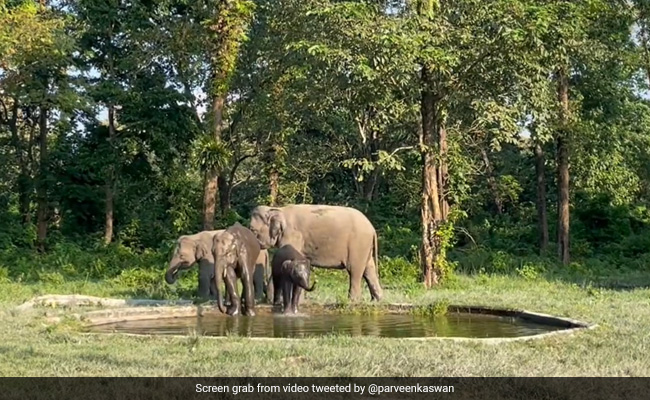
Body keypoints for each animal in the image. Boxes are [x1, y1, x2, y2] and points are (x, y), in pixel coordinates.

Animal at [249, 204, 382, 302]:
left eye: (253, 230)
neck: (278, 210)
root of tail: (372, 228)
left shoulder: (293, 237)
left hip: (358, 244)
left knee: (354, 270)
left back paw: (352, 301)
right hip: (364, 247)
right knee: (369, 269)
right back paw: (377, 300)